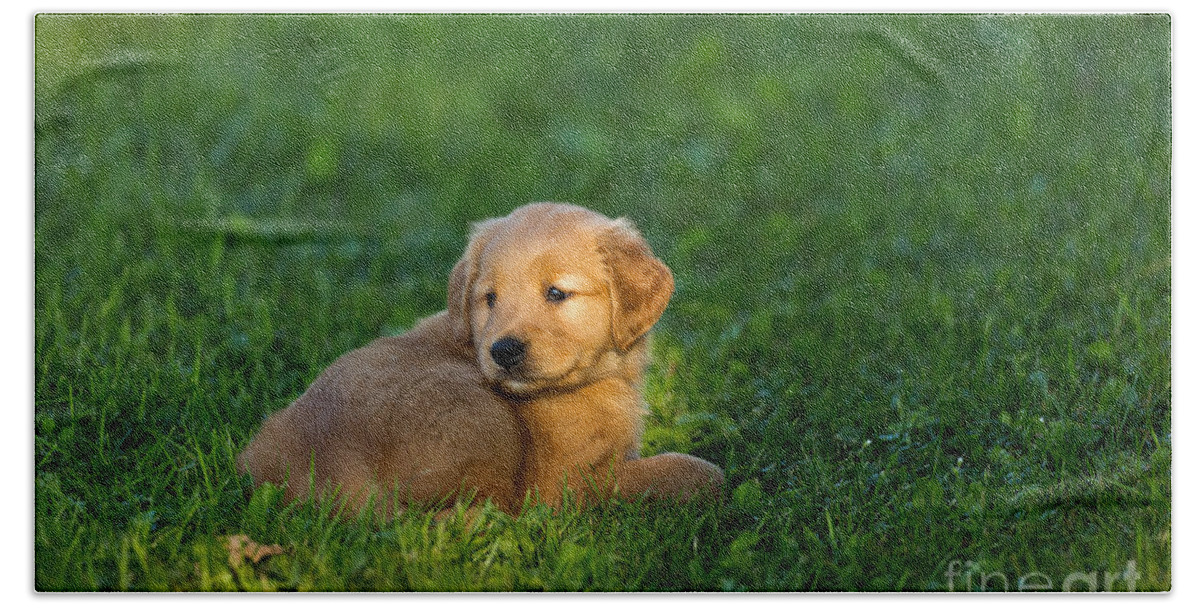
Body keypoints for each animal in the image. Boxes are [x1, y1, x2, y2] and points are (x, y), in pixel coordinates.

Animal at [235, 203, 720, 513]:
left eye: (557, 293)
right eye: (489, 298)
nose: (502, 351)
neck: (600, 380)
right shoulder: (570, 482)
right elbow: (688, 469)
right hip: (483, 415)